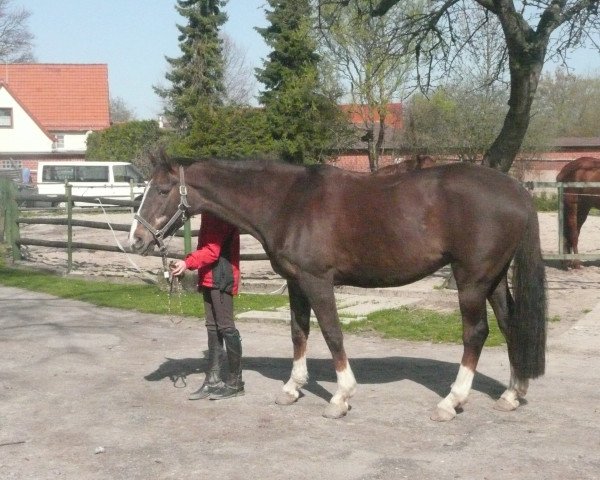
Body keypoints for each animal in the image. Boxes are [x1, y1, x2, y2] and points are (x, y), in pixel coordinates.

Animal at [129, 156, 548, 422]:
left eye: (163, 189)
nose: (136, 239)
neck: (288, 202)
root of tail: (518, 190)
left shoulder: (318, 280)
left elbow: (331, 333)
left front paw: (341, 397)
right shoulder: (296, 282)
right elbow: (298, 332)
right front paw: (292, 388)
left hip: (472, 280)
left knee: (476, 333)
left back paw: (451, 401)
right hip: (493, 279)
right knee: (511, 325)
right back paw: (512, 394)